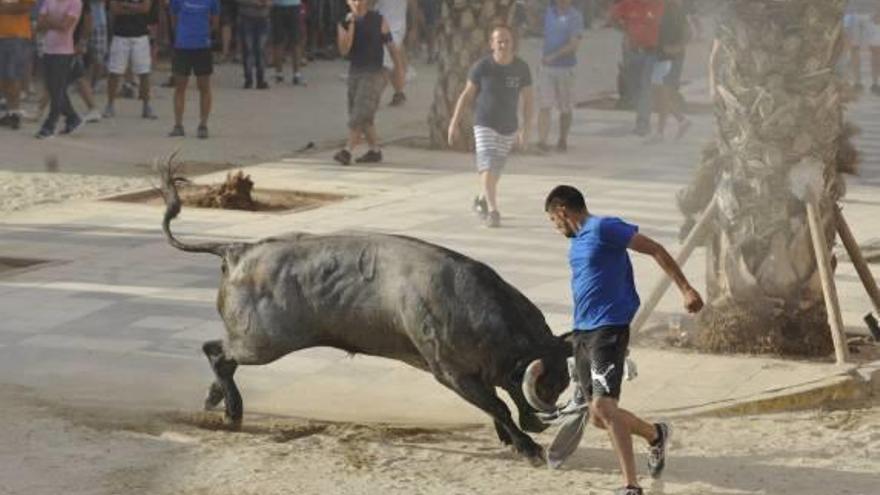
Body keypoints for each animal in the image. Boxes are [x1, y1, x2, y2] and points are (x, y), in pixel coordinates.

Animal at [158, 165, 572, 464]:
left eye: (561, 383)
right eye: (546, 386)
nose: (542, 421)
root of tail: (237, 250)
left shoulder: (476, 375)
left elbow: (498, 402)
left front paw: (514, 438)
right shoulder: (451, 373)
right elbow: (499, 404)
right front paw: (528, 448)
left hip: (255, 342)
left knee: (223, 358)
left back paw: (217, 401)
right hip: (261, 343)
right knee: (216, 351)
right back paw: (232, 412)